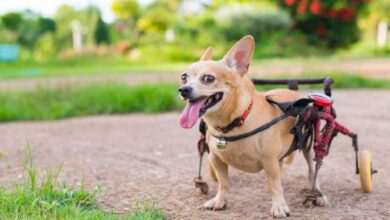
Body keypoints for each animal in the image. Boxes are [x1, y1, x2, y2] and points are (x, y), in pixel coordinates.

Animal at [178, 35, 328, 217]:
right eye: (183, 77)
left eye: (208, 78)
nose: (183, 89)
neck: (234, 122)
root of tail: (294, 93)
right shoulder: (216, 159)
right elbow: (223, 183)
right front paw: (220, 201)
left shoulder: (269, 161)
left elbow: (274, 186)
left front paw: (279, 206)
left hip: (308, 148)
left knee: (313, 171)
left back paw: (318, 194)